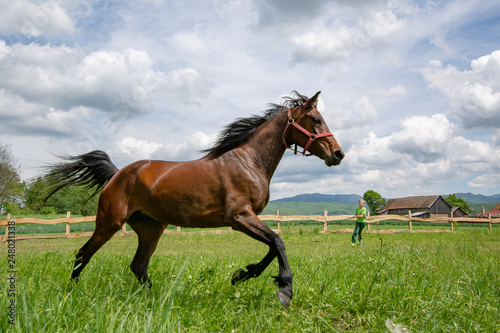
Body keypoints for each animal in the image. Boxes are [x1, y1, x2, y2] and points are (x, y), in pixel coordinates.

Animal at [47, 89, 344, 308]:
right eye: (316, 119)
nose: (338, 154)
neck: (249, 162)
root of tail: (117, 174)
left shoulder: (248, 219)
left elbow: (272, 245)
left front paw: (242, 274)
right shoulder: (239, 217)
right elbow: (278, 242)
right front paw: (284, 291)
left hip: (151, 229)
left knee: (138, 266)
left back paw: (160, 300)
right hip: (109, 223)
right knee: (83, 254)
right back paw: (70, 295)